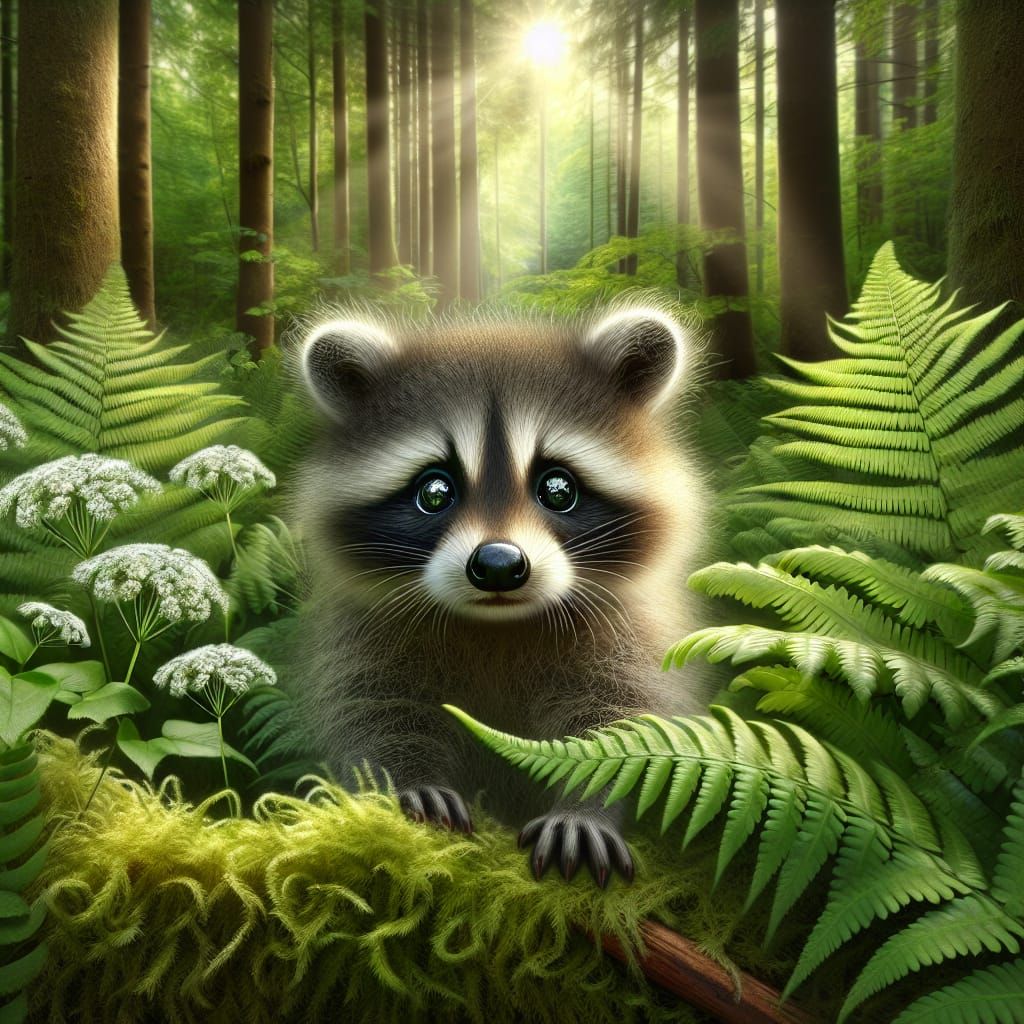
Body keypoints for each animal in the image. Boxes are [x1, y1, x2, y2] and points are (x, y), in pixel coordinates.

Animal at [293, 305, 713, 886]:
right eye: (434, 491)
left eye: (558, 488)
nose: (497, 565)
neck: (498, 625)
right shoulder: (367, 631)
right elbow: (374, 707)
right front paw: (409, 783)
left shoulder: (630, 629)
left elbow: (622, 715)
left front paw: (582, 809)